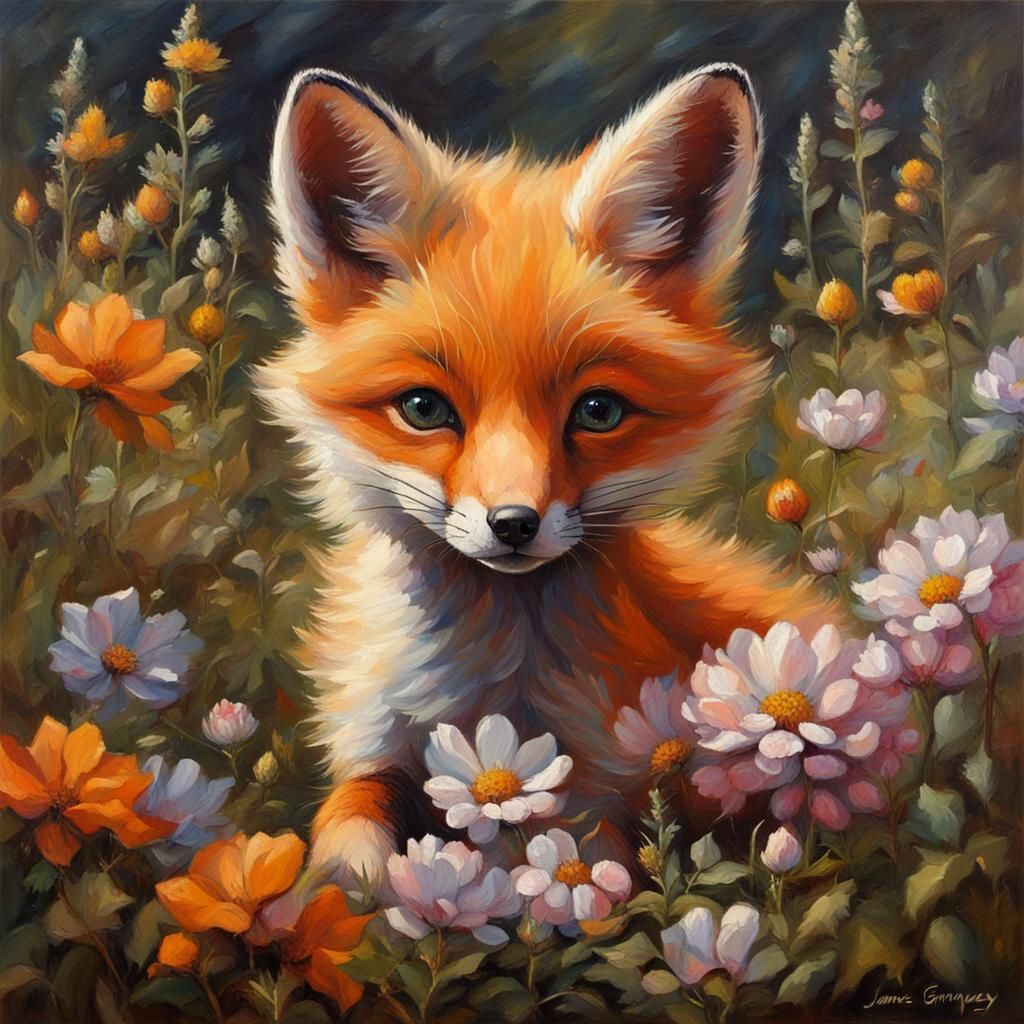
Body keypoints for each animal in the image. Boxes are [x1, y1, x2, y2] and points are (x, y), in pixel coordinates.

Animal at [256, 63, 840, 891]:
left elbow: (583, 871)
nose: (513, 524)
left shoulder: (601, 791)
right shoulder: (375, 746)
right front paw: (353, 886)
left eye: (597, 411)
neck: (485, 696)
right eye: (423, 408)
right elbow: (347, 821)